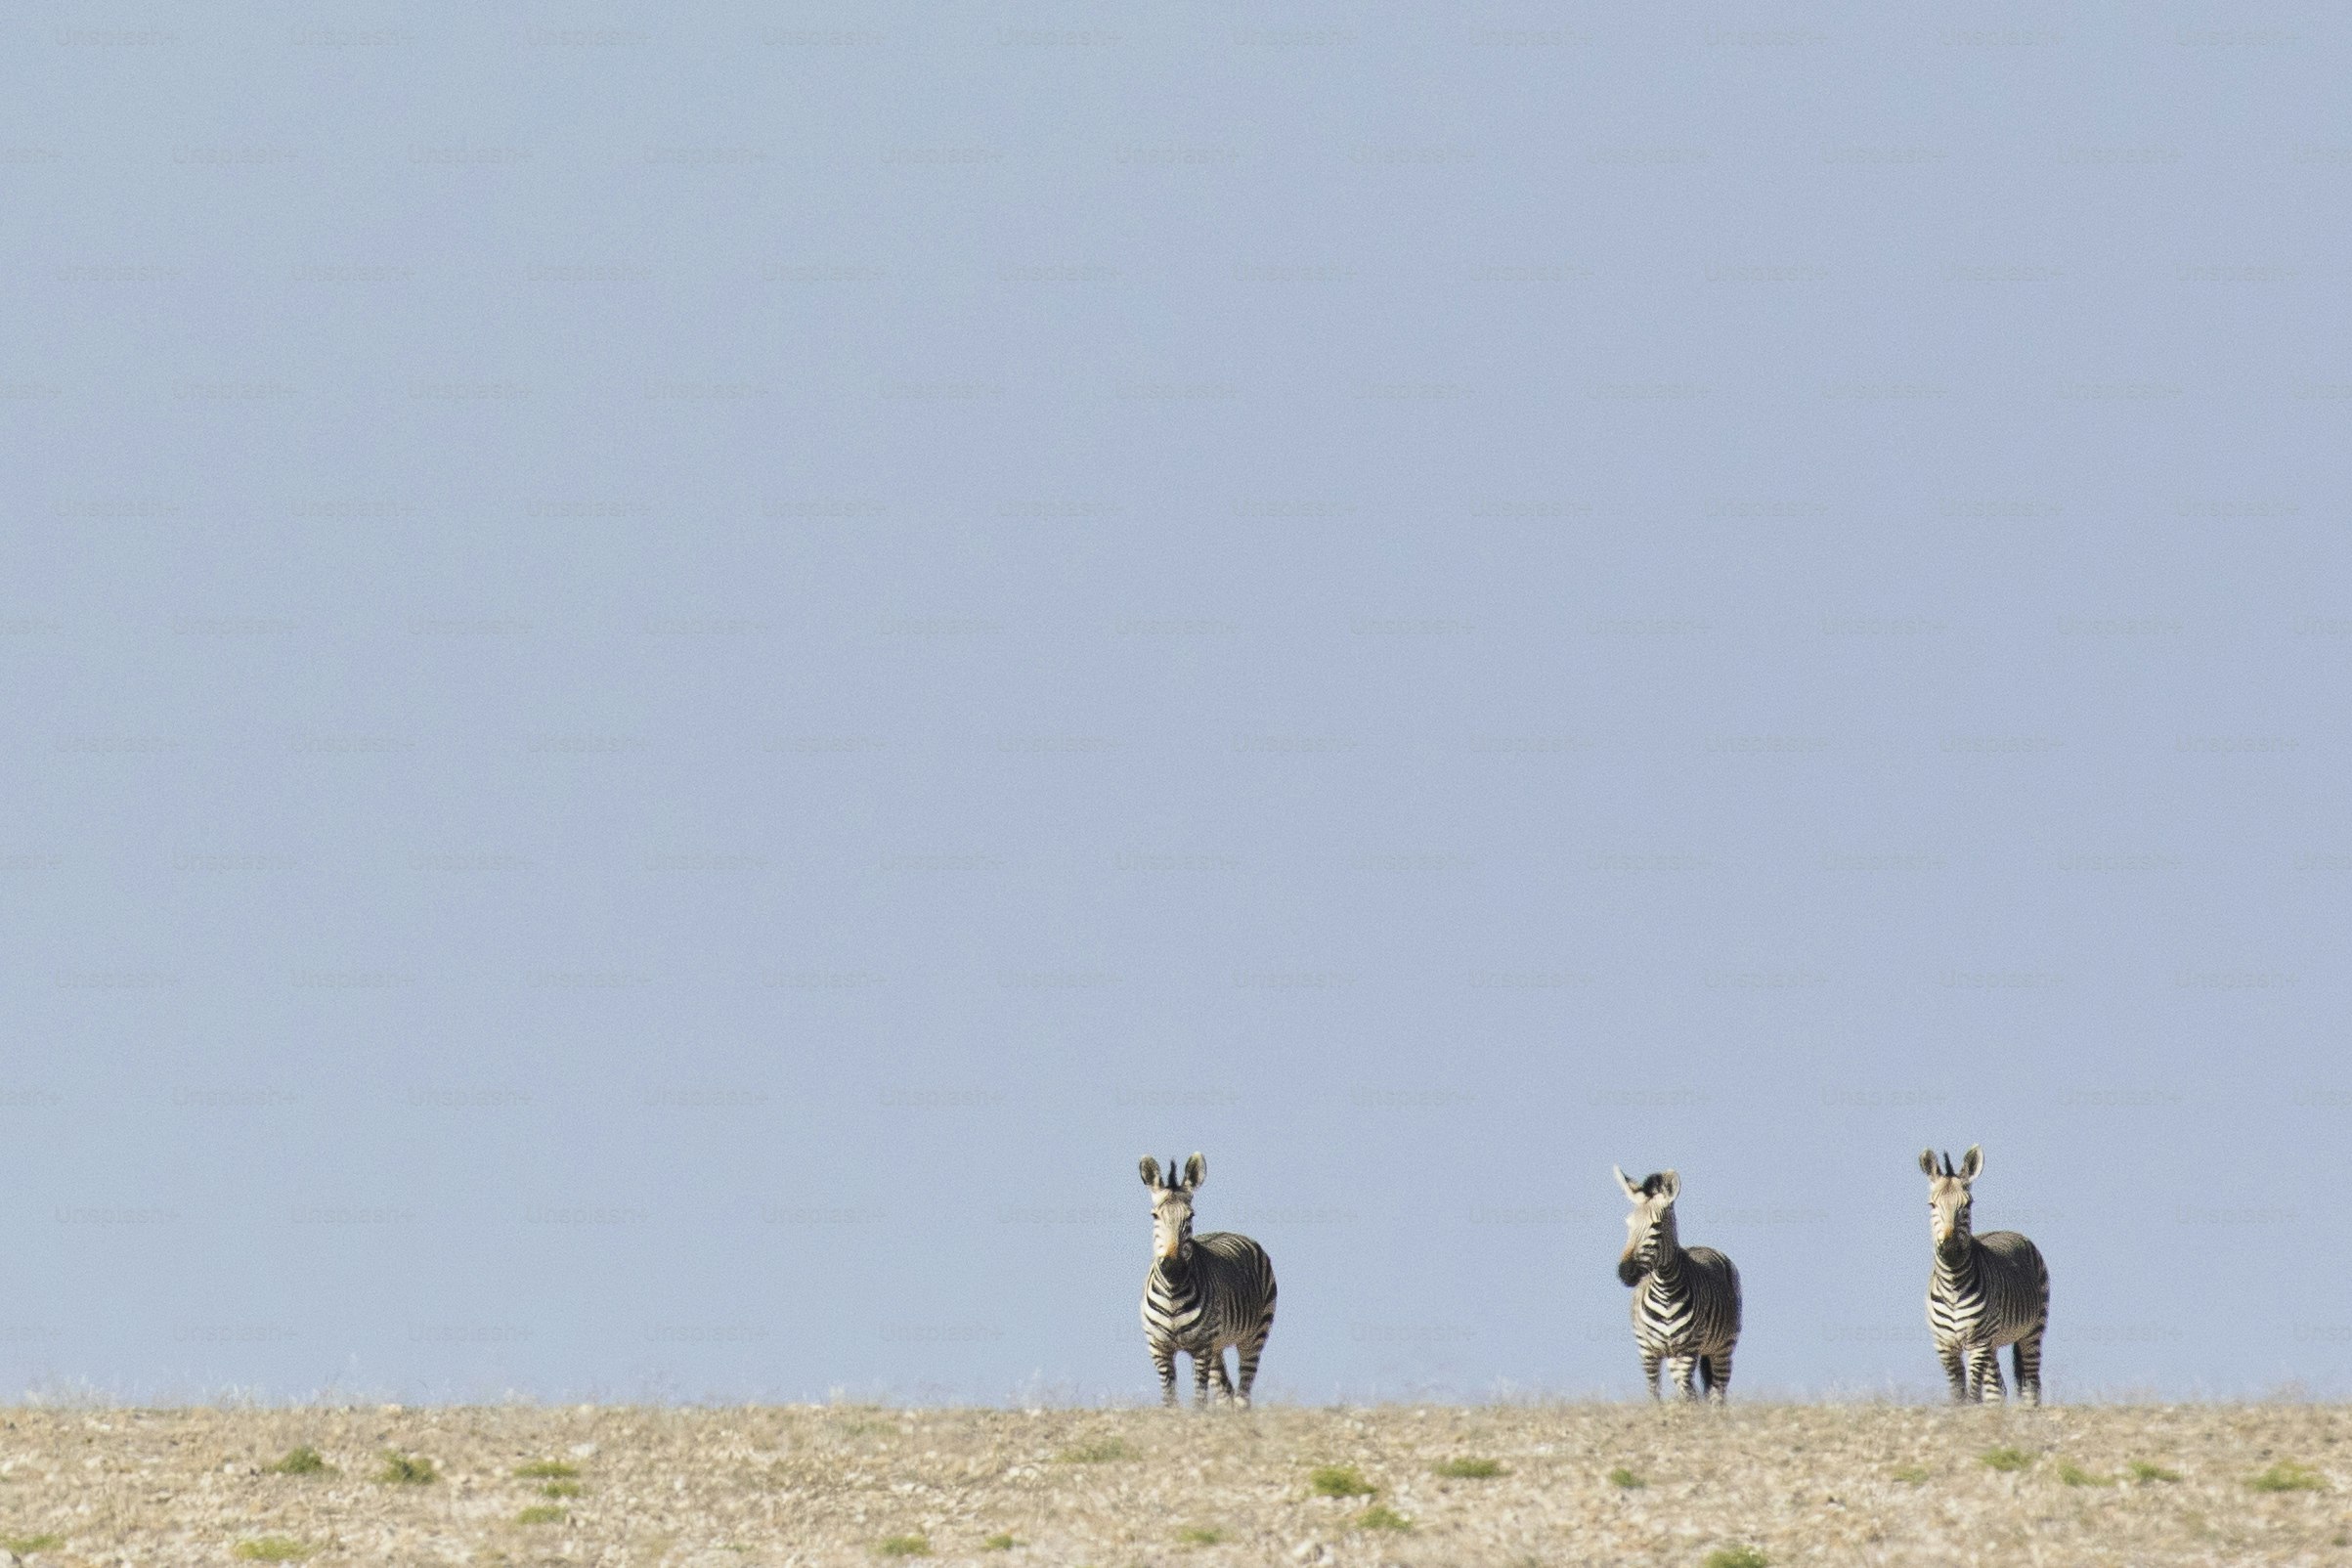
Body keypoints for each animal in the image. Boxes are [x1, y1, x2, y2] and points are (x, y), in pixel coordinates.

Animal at [1139, 1153, 1277, 1409]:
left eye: (1190, 1216)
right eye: (1155, 1216)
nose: (1173, 1268)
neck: (1173, 1293)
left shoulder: (1201, 1347)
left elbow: (1199, 1400)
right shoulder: (1159, 1347)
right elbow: (1170, 1399)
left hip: (1255, 1334)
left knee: (1244, 1388)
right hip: (1217, 1347)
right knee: (1225, 1391)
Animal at [1615, 1166, 1742, 1402]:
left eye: (1656, 1226)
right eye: (1628, 1224)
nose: (1625, 1272)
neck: (1665, 1290)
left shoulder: (1687, 1350)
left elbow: (1688, 1394)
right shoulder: (1647, 1352)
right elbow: (1654, 1394)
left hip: (1723, 1348)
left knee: (1717, 1394)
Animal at [1921, 1145, 2049, 1405]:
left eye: (1968, 1205)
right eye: (1932, 1205)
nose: (1950, 1249)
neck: (1952, 1286)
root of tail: (2009, 1230)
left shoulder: (1978, 1342)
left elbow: (1971, 1394)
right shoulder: (1944, 1346)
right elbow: (1958, 1394)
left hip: (2032, 1331)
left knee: (2032, 1385)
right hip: (1994, 1342)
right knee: (1996, 1390)